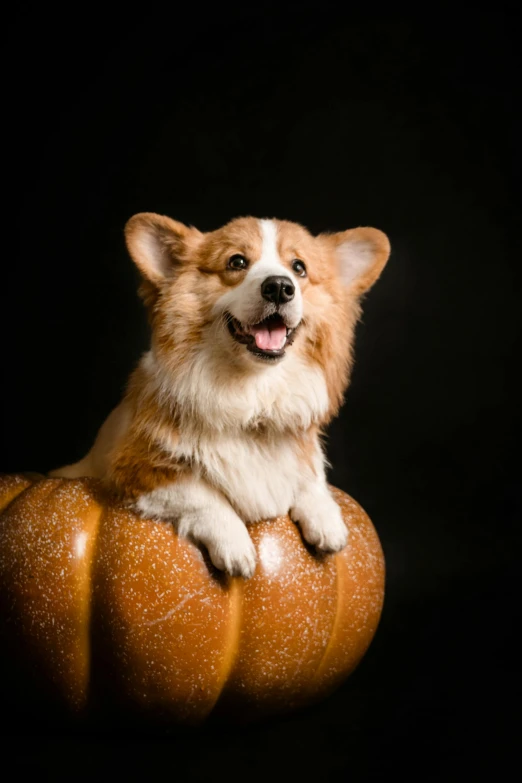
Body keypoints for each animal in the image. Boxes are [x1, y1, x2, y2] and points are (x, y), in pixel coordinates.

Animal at [50, 211, 388, 580]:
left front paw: (327, 518)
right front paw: (235, 546)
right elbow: (200, 492)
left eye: (299, 267)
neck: (252, 395)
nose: (279, 287)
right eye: (237, 262)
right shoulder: (136, 468)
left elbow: (312, 474)